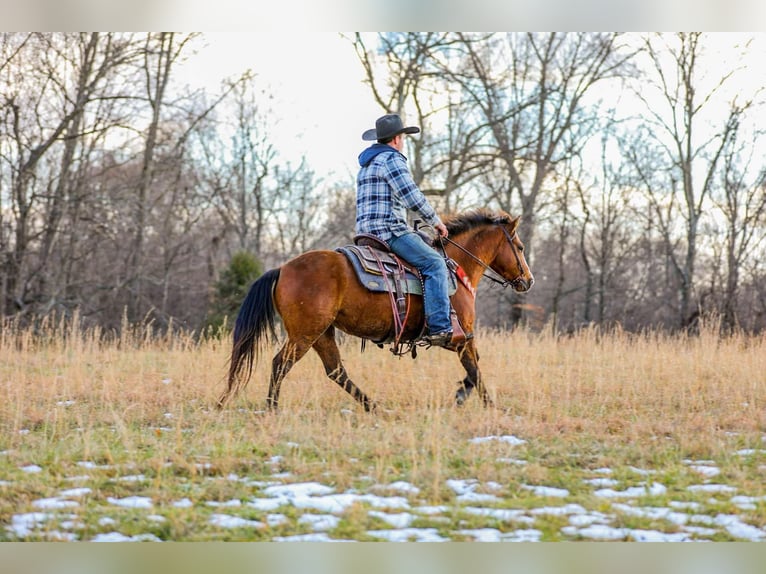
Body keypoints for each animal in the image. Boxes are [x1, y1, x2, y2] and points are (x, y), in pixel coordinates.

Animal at [217, 208, 534, 412]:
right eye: (519, 246)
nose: (528, 281)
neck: (454, 269)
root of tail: (283, 269)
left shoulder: (463, 339)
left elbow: (474, 367)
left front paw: (460, 395)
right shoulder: (461, 336)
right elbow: (475, 369)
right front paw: (489, 405)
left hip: (321, 334)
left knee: (336, 371)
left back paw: (373, 406)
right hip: (304, 335)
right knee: (280, 364)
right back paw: (272, 407)